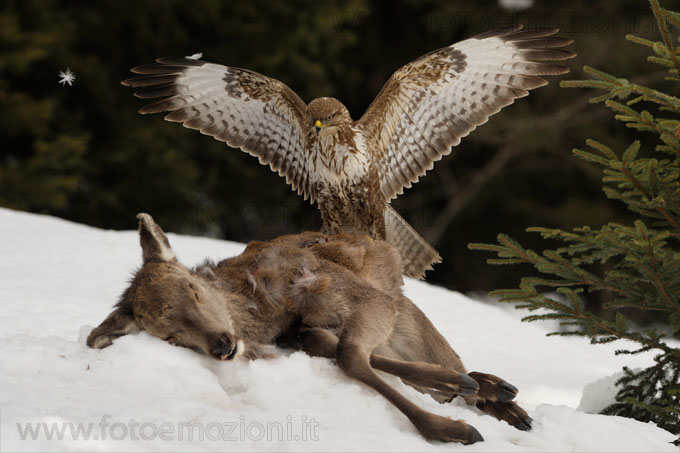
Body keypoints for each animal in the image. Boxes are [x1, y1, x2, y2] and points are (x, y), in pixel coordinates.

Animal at [87, 213, 532, 444]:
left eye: (193, 291)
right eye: (169, 334)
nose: (222, 345)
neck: (267, 309)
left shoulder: (363, 297)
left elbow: (351, 354)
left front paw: (453, 422)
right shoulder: (302, 333)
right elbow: (342, 350)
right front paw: (453, 419)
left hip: (412, 319)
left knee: (452, 358)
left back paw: (499, 396)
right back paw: (489, 391)